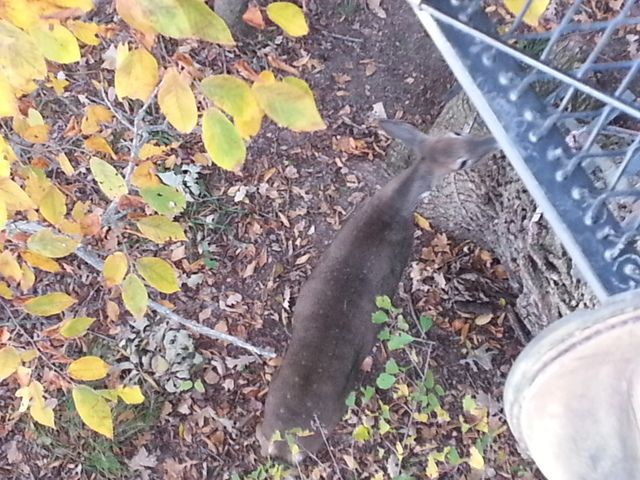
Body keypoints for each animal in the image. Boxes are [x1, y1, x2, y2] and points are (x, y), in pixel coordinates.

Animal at [258, 118, 498, 464]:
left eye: (456, 134)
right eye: (461, 161)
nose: (493, 142)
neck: (394, 207)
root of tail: (281, 442)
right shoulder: (399, 262)